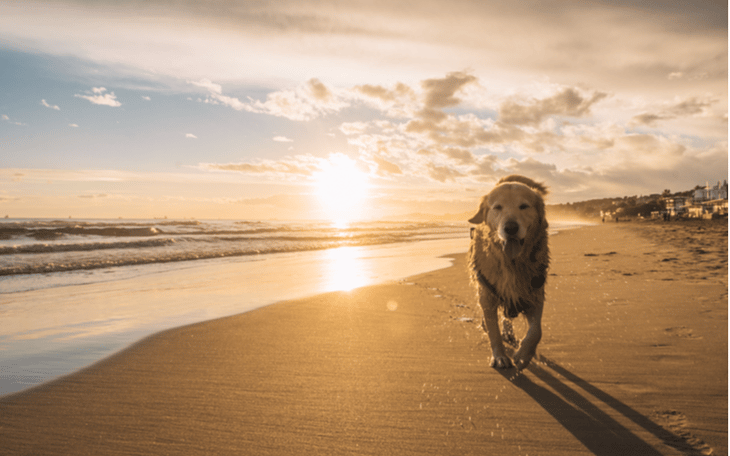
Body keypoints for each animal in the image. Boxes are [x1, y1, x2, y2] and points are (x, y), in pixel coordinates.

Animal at [466, 175, 544, 370]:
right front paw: (500, 356)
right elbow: (493, 330)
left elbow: (536, 331)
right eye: (497, 207)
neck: (511, 262)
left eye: (524, 206)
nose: (510, 228)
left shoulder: (535, 292)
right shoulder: (487, 294)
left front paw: (523, 355)